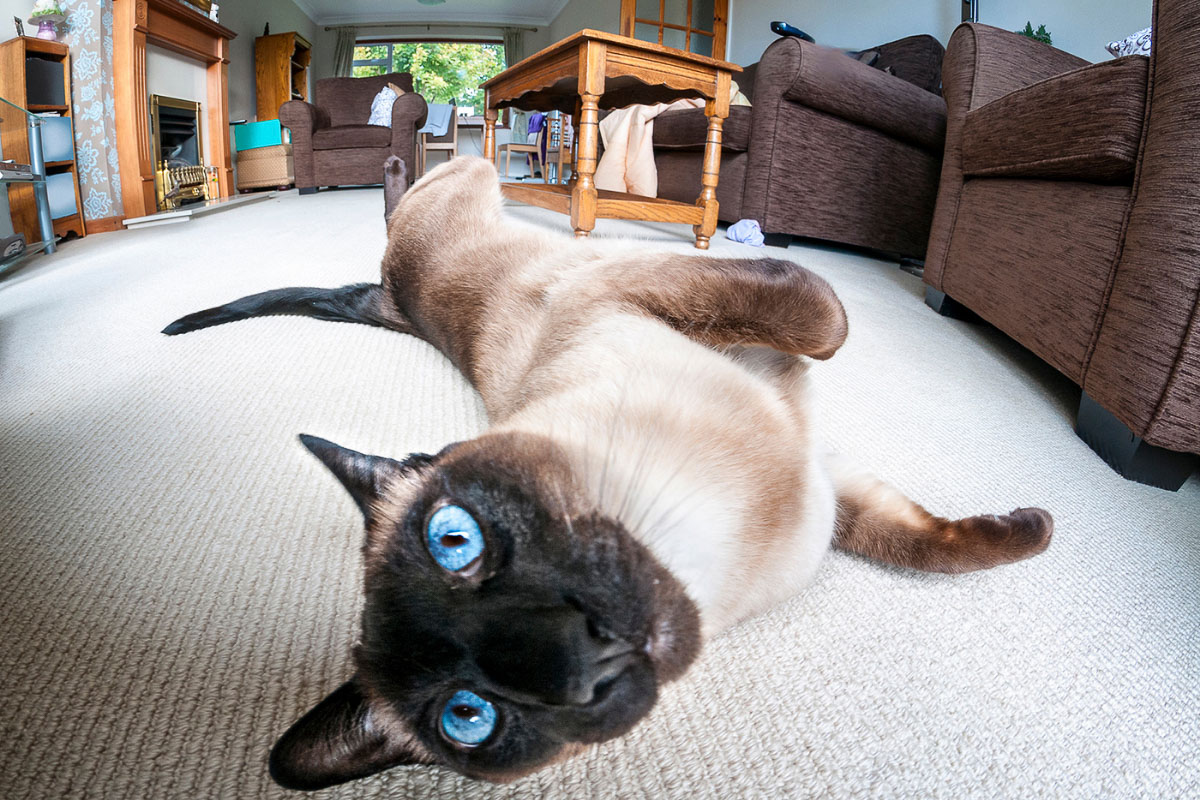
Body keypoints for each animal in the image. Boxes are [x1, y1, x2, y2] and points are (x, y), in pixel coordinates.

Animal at [162, 154, 1051, 786]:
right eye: (469, 717)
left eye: (455, 540)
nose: (580, 653)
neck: (720, 527)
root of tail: (396, 300)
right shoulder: (823, 492)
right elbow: (839, 346)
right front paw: (1035, 527)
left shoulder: (815, 459)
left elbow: (922, 525)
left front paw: (1034, 530)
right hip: (468, 196)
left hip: (476, 189)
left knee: (434, 172)